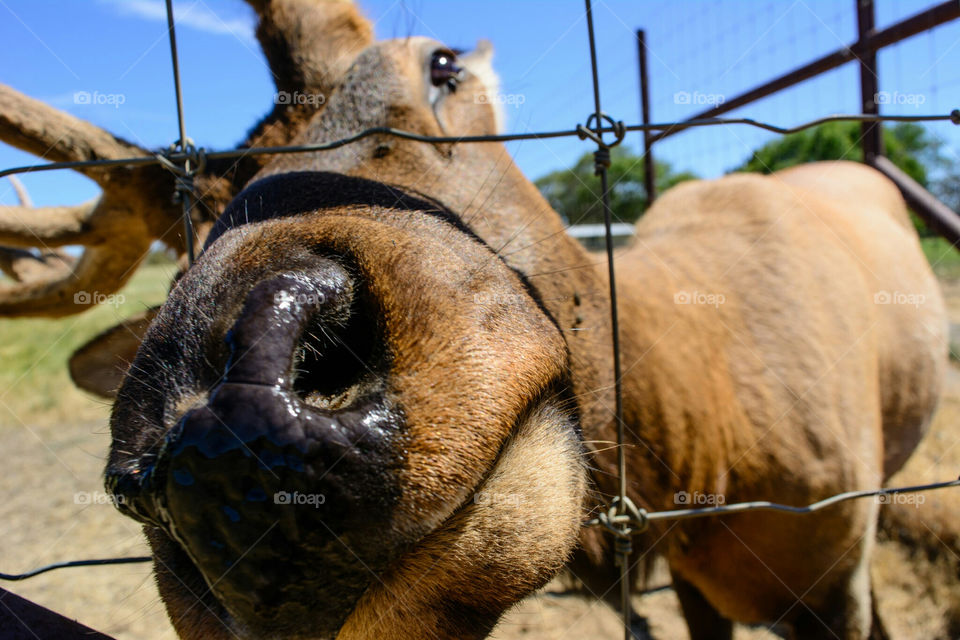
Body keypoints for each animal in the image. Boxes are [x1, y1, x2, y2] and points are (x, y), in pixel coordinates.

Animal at [0, 1, 944, 640]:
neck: (705, 448)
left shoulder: (837, 567)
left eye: (441, 62)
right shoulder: (698, 586)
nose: (237, 428)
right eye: (199, 216)